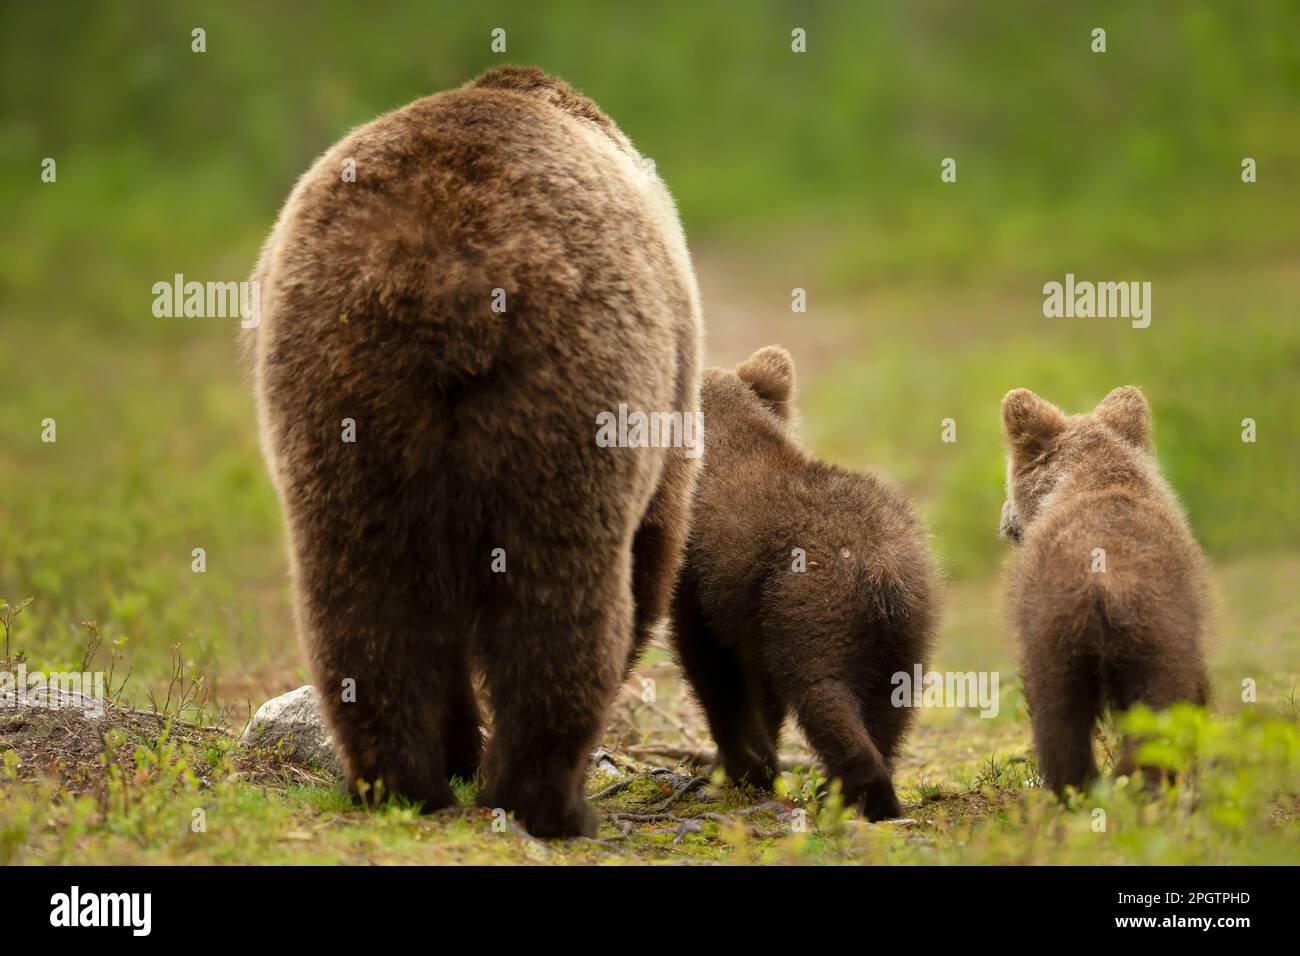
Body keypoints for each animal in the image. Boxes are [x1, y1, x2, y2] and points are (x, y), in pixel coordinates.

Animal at [244, 66, 702, 837]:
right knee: (561, 595)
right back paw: (544, 797)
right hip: (569, 387)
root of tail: (442, 275)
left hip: (340, 388)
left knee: (362, 595)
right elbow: (655, 545)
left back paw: (398, 781)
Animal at [671, 346, 937, 821]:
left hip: (813, 605)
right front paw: (754, 767)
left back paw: (854, 795)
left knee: (823, 694)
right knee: (890, 709)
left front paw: (732, 771)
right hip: (907, 632)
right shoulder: (752, 614)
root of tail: (883, 567)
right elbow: (760, 694)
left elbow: (716, 677)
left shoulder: (700, 585)